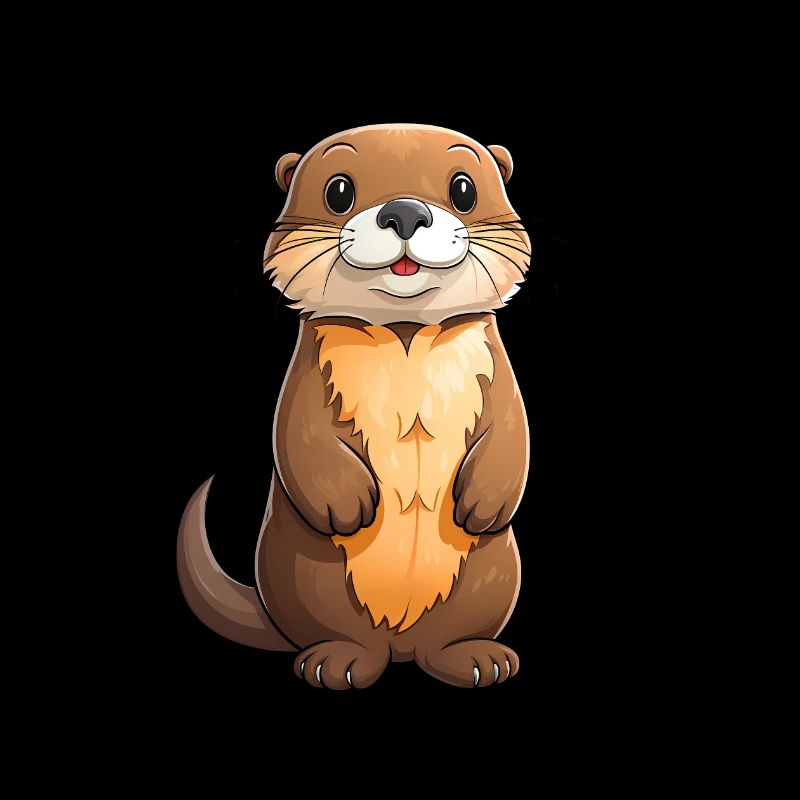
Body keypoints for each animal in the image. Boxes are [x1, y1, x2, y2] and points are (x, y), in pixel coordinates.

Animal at [178, 124, 531, 689]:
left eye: (464, 189)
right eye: (339, 190)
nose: (405, 211)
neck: (405, 338)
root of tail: (401, 647)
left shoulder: (497, 368)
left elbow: (513, 432)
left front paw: (483, 504)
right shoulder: (302, 377)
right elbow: (297, 433)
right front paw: (347, 506)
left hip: (490, 577)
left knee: (448, 640)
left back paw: (479, 660)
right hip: (309, 578)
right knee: (344, 637)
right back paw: (336, 663)